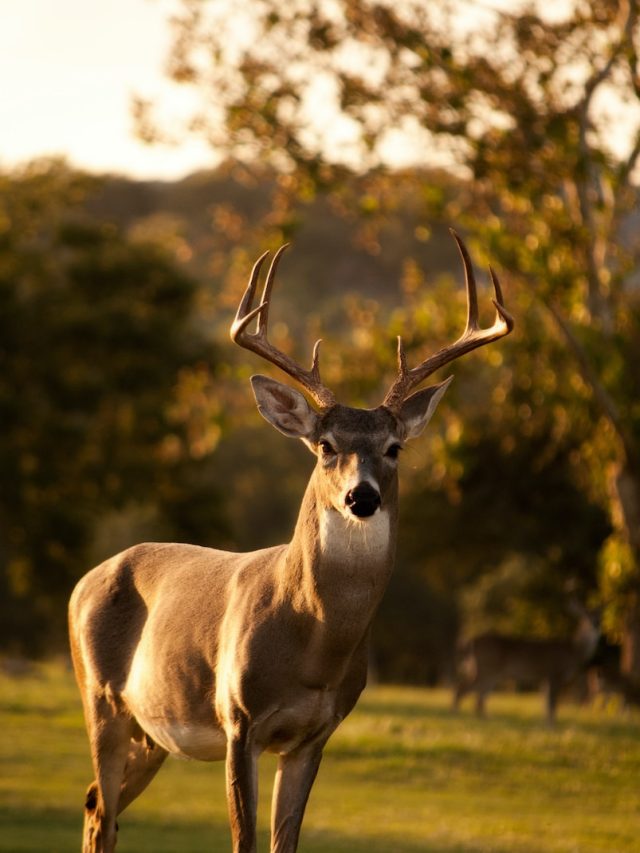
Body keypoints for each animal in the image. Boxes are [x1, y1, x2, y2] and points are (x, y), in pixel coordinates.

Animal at [67, 230, 512, 848]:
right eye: (326, 445)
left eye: (394, 447)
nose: (361, 497)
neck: (313, 643)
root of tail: (83, 582)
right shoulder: (240, 721)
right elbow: (245, 840)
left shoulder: (314, 736)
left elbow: (285, 841)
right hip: (101, 700)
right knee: (102, 809)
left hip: (152, 733)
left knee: (93, 806)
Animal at [452, 600, 596, 724]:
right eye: (585, 617)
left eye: (597, 615)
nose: (595, 624)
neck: (574, 651)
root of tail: (470, 642)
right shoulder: (554, 673)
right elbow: (551, 703)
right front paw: (552, 725)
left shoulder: (545, 677)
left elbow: (545, 702)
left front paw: (546, 724)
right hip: (486, 669)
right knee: (464, 689)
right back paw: (458, 715)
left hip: (489, 672)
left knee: (479, 696)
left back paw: (483, 719)